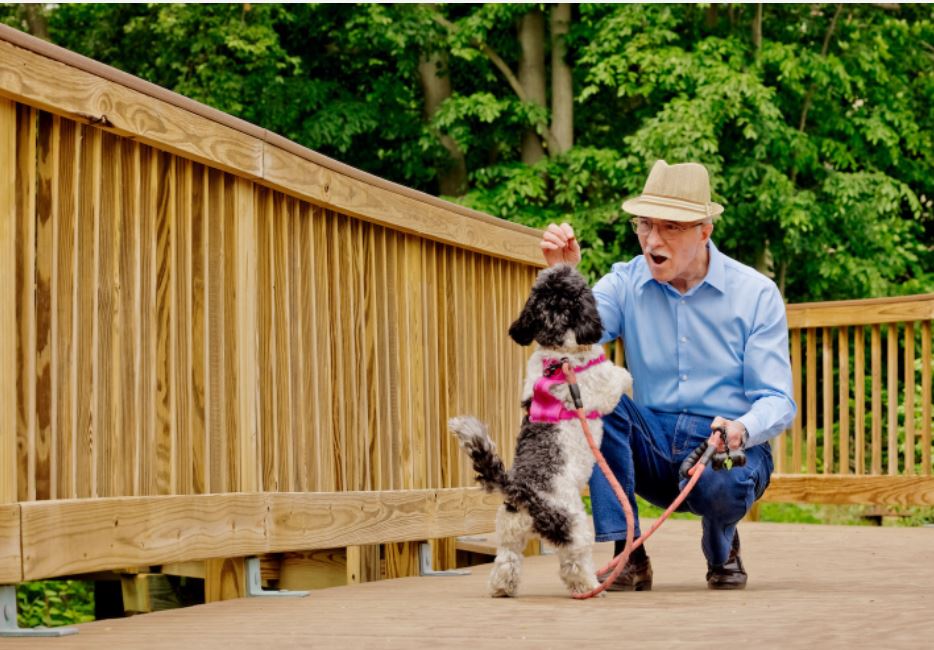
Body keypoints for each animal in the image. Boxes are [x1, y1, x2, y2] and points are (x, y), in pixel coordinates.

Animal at [450, 264, 632, 596]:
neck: (557, 356)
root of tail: (520, 489)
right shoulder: (602, 385)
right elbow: (620, 376)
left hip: (509, 530)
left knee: (506, 560)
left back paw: (503, 588)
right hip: (574, 526)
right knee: (574, 563)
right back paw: (590, 586)